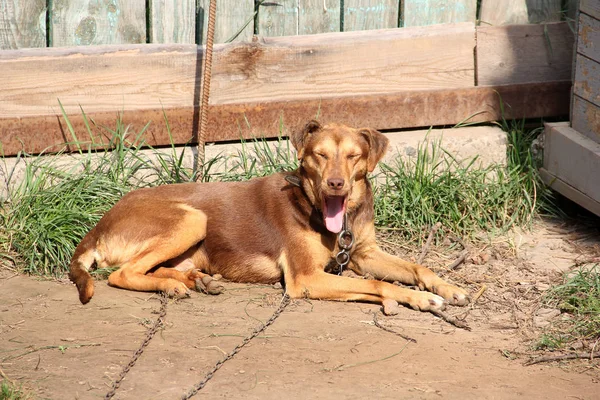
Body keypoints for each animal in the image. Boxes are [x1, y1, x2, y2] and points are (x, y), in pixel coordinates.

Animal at [69, 120, 468, 310]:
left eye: (353, 156)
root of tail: (98, 226)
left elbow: (417, 268)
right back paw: (174, 285)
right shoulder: (306, 278)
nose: (336, 184)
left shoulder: (364, 253)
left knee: (150, 269)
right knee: (121, 274)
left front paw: (448, 288)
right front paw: (419, 299)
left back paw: (196, 281)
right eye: (320, 155)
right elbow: (376, 285)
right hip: (191, 219)